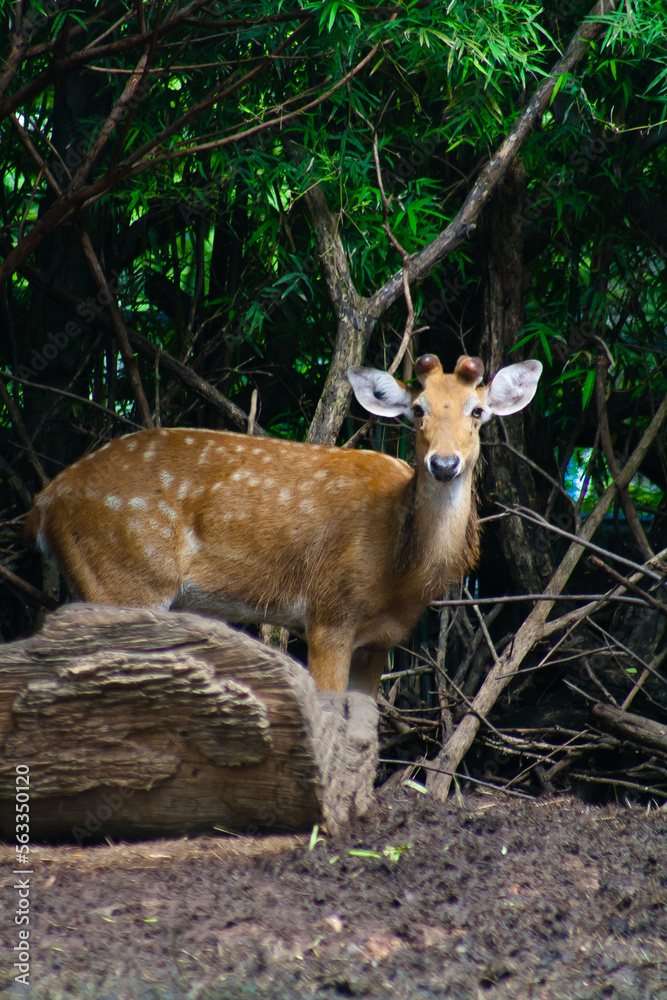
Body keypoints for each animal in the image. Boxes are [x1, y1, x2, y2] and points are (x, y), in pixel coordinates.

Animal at [25, 354, 541, 695]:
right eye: (419, 410)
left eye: (478, 411)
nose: (444, 463)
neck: (401, 568)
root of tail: (45, 502)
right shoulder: (330, 612)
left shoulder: (383, 638)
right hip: (129, 577)